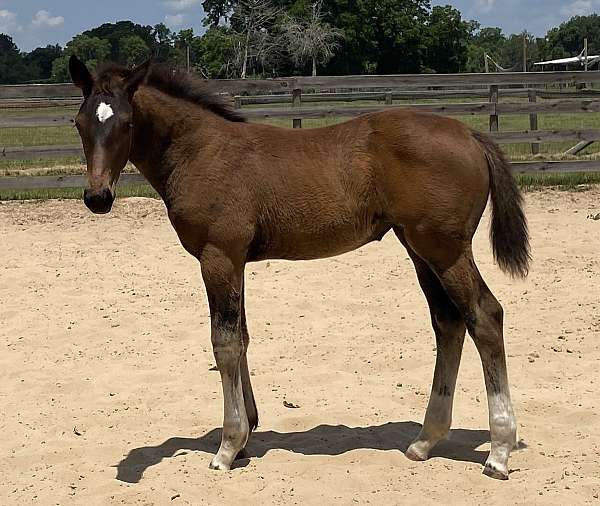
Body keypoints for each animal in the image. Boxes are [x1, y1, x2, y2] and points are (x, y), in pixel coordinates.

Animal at [69, 55, 528, 478]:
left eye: (127, 123)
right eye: (79, 123)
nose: (98, 197)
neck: (200, 152)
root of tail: (470, 133)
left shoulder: (218, 257)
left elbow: (224, 343)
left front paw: (228, 445)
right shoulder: (236, 261)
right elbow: (242, 337)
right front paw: (248, 436)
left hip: (445, 250)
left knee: (485, 316)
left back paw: (499, 451)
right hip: (419, 249)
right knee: (448, 323)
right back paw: (425, 441)